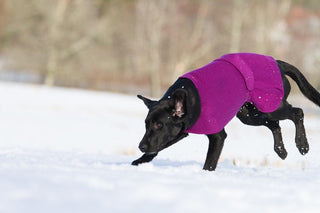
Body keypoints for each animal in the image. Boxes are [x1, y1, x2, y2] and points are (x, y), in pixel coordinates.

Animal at [131, 58, 318, 171]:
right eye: (146, 124)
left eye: (159, 124)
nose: (141, 146)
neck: (190, 99)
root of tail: (277, 63)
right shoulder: (180, 131)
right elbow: (158, 146)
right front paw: (140, 161)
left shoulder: (217, 135)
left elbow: (209, 162)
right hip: (248, 114)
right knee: (274, 125)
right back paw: (281, 151)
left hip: (272, 107)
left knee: (297, 113)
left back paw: (302, 145)